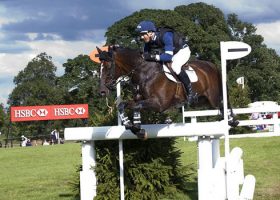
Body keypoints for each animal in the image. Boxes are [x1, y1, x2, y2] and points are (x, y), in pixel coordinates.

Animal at [95, 45, 236, 139]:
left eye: (108, 66)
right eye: (99, 68)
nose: (102, 91)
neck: (144, 72)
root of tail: (212, 66)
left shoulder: (159, 104)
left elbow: (136, 106)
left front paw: (136, 127)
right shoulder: (139, 99)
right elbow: (123, 105)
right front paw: (133, 126)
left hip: (213, 98)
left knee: (223, 104)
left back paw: (231, 121)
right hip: (202, 101)